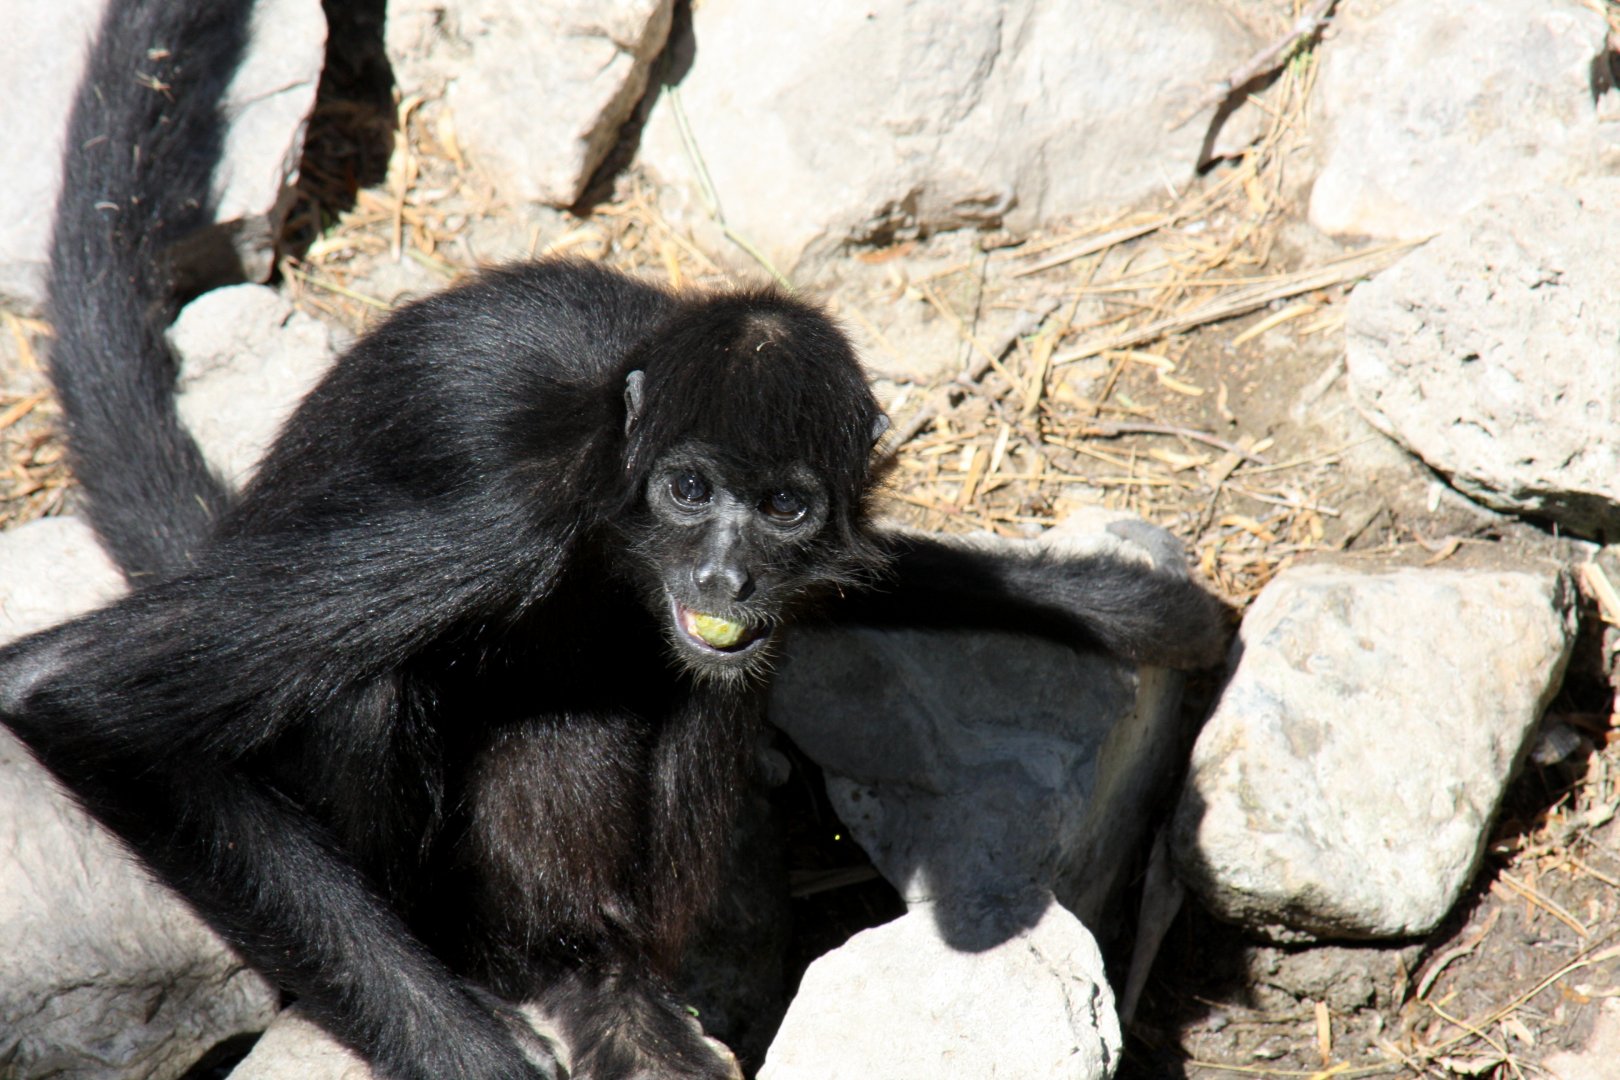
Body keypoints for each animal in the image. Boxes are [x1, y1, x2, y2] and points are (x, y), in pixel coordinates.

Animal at [0, 1, 1229, 1078]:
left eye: (783, 509)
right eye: (688, 490)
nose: (725, 570)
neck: (614, 487)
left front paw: (1121, 604)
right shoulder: (496, 521)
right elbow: (69, 698)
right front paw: (475, 1059)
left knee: (719, 680)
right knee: (367, 692)